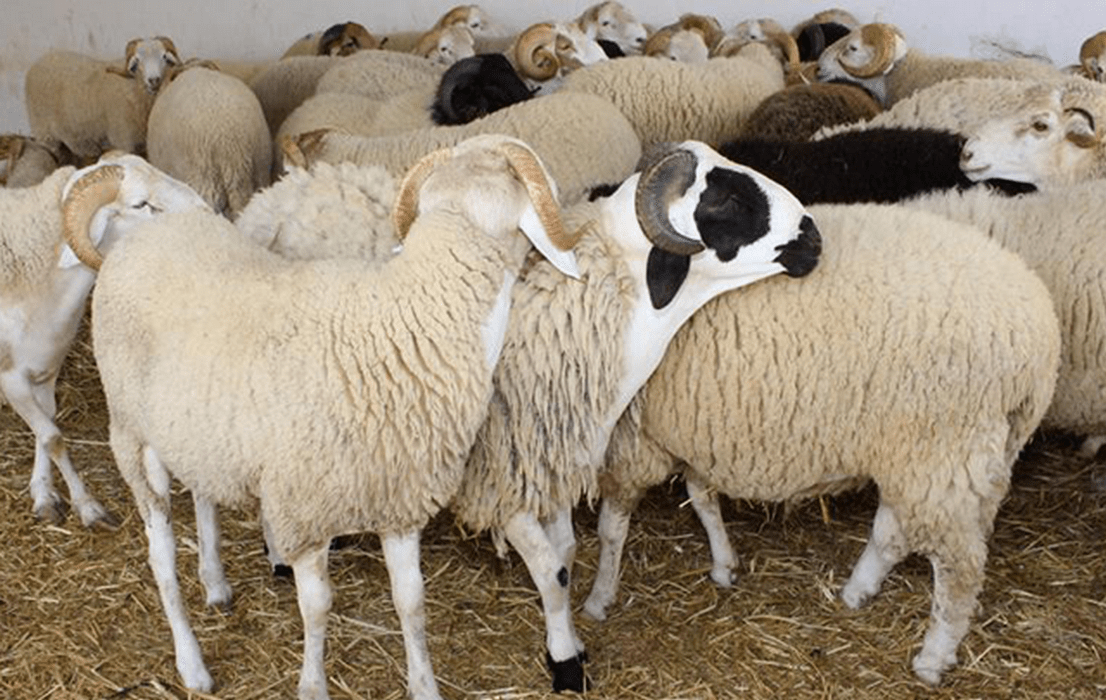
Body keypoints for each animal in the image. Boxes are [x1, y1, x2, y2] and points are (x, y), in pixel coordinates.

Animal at [0, 153, 211, 528]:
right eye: (140, 204)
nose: (207, 212)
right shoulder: (11, 378)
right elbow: (53, 437)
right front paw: (87, 506)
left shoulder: (46, 369)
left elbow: (45, 431)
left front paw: (45, 495)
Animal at [24, 36, 181, 159]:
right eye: (137, 60)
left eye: (164, 57)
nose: (154, 80)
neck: (133, 87)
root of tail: (38, 62)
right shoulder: (122, 138)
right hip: (43, 131)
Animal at [59, 134, 584, 700]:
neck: (415, 319)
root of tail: (139, 241)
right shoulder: (306, 507)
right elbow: (317, 608)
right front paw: (312, 684)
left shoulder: (398, 499)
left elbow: (412, 602)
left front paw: (424, 685)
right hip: (131, 436)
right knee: (160, 558)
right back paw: (192, 664)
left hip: (198, 431)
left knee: (203, 495)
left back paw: (216, 582)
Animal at [584, 202, 1062, 686]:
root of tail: (1042, 334)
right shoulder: (693, 435)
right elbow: (702, 498)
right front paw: (723, 564)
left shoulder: (630, 443)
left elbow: (612, 528)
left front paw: (599, 598)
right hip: (931, 453)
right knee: (895, 532)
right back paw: (856, 591)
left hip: (943, 450)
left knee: (960, 565)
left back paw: (932, 657)